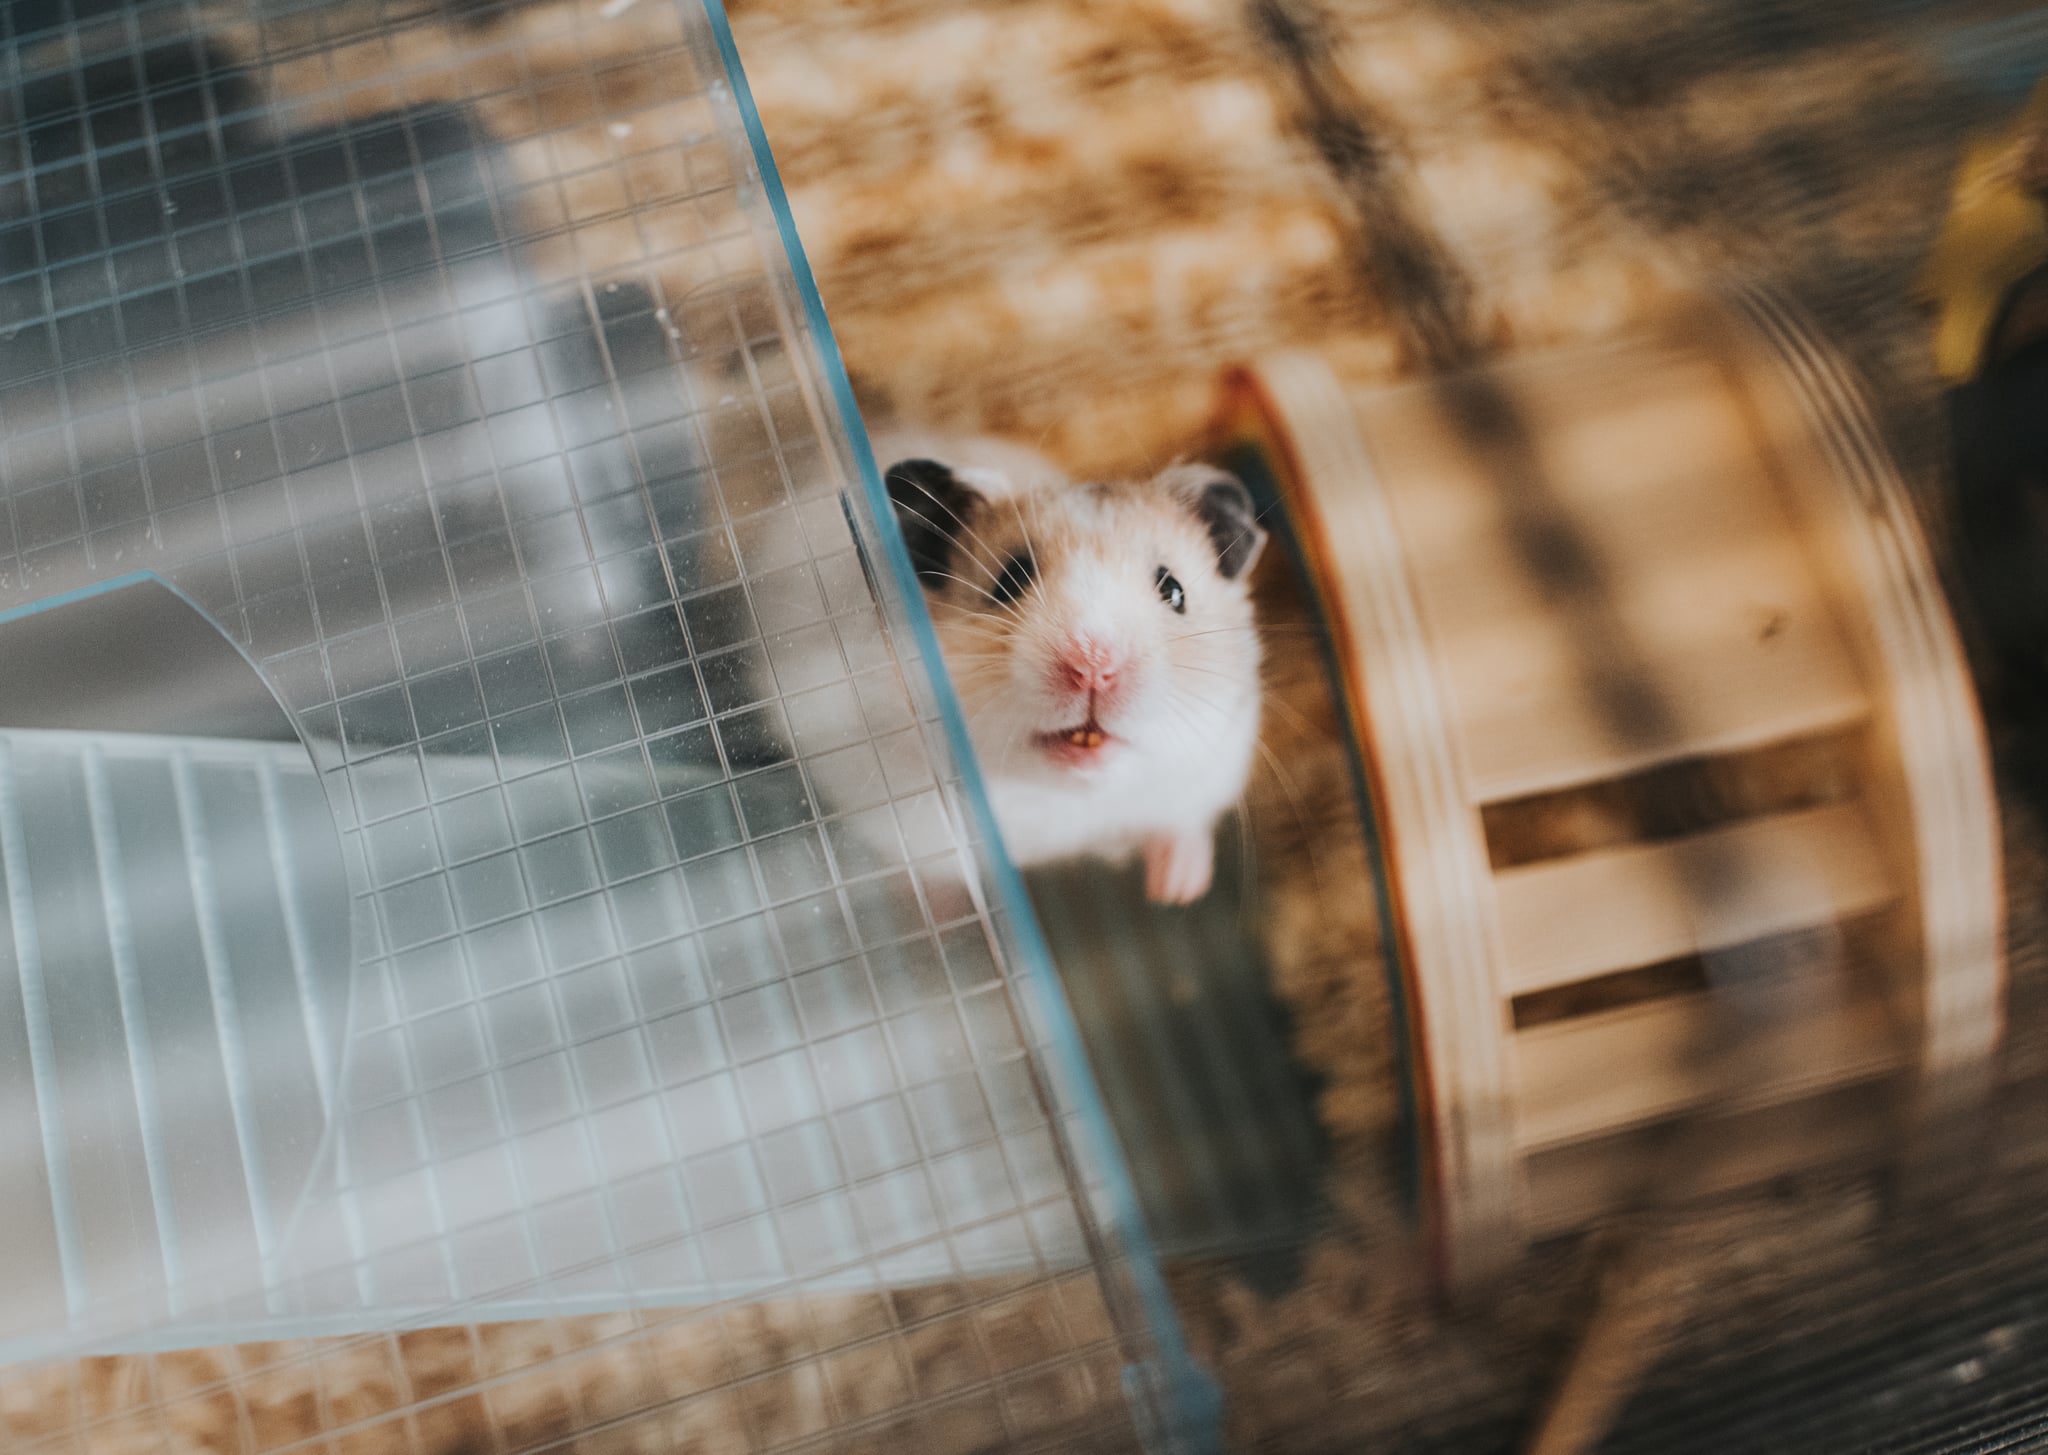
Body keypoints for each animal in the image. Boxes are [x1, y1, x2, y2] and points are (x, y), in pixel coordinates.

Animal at [864, 432, 1261, 905]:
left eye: (1174, 591)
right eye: (1008, 582)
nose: (1092, 665)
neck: (1074, 791)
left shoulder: (1209, 770)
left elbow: (1181, 826)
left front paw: (1177, 891)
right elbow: (940, 873)